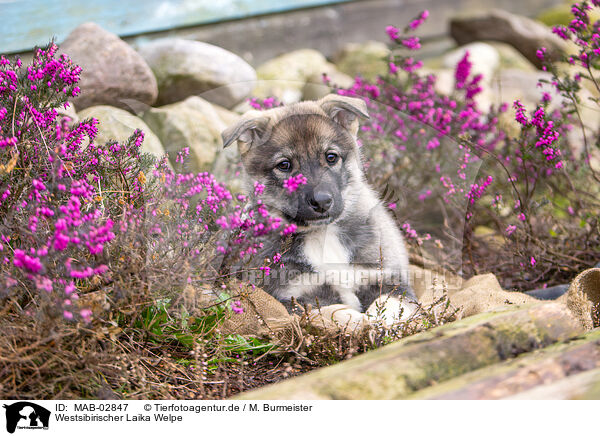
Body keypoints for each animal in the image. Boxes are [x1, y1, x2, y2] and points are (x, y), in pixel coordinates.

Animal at [221, 95, 418, 328]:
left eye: (331, 157)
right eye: (284, 165)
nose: (322, 202)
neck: (323, 233)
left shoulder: (388, 280)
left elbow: (391, 305)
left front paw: (381, 324)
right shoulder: (293, 296)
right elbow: (331, 311)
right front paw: (359, 322)